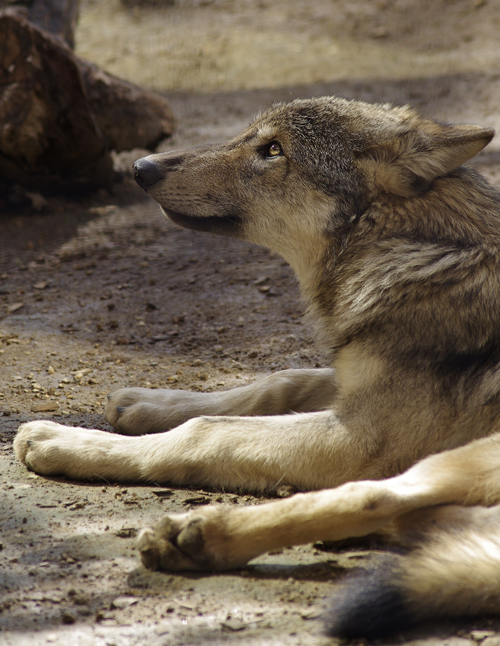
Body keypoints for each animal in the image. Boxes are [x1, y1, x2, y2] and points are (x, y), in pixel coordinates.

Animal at [11, 96, 500, 636]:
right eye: (253, 136)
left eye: (273, 151)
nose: (142, 167)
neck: (413, 251)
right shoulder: (347, 379)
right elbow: (275, 383)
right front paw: (147, 403)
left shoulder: (362, 436)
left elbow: (204, 432)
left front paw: (62, 439)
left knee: (375, 499)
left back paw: (201, 534)